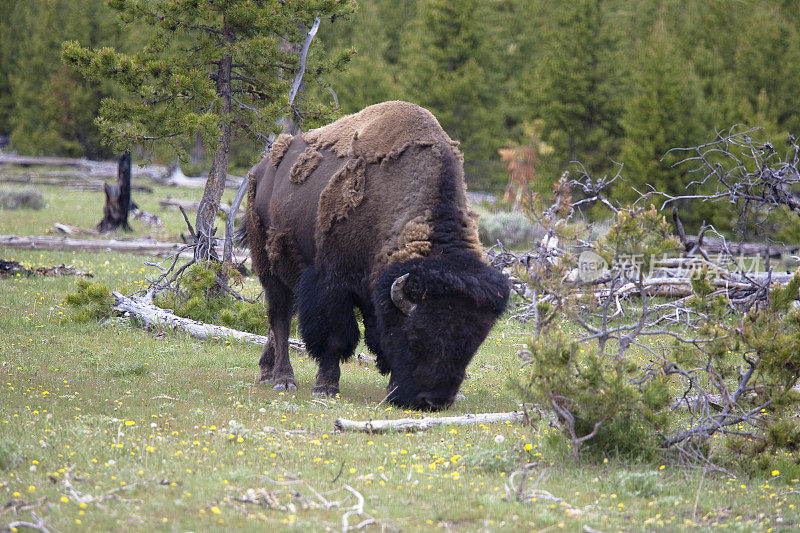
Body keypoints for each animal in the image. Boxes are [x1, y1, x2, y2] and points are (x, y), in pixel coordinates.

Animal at [241, 100, 510, 410]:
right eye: (415, 339)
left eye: (472, 345)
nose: (433, 401)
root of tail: (261, 170)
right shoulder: (333, 284)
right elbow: (336, 337)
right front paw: (326, 387)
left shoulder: (374, 293)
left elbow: (378, 337)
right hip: (269, 266)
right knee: (280, 319)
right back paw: (283, 380)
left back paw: (266, 371)